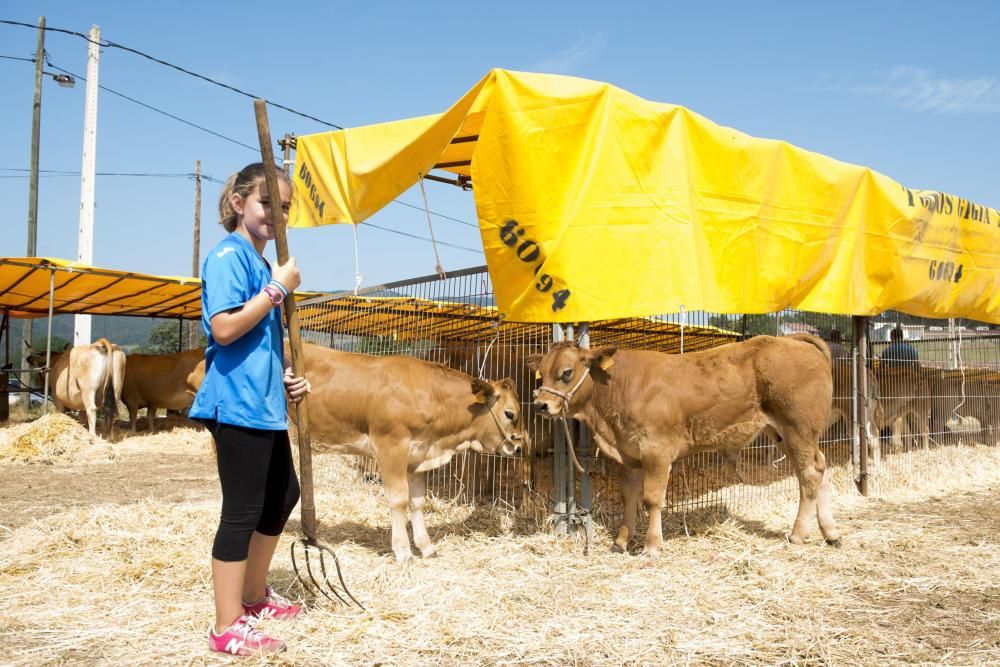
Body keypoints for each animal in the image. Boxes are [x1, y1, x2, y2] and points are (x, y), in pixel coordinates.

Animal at [294, 342, 524, 560]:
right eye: (510, 414)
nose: (520, 447)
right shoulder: (391, 447)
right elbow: (398, 499)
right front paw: (403, 551)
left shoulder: (419, 455)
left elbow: (417, 501)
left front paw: (426, 547)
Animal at [528, 334, 840, 560]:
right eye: (540, 374)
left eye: (567, 372)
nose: (540, 405)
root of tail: (793, 339)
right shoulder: (629, 455)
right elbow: (628, 497)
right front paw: (621, 542)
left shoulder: (657, 451)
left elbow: (652, 499)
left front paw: (652, 546)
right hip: (786, 434)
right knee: (820, 468)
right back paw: (830, 532)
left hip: (798, 429)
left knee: (809, 475)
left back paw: (798, 534)